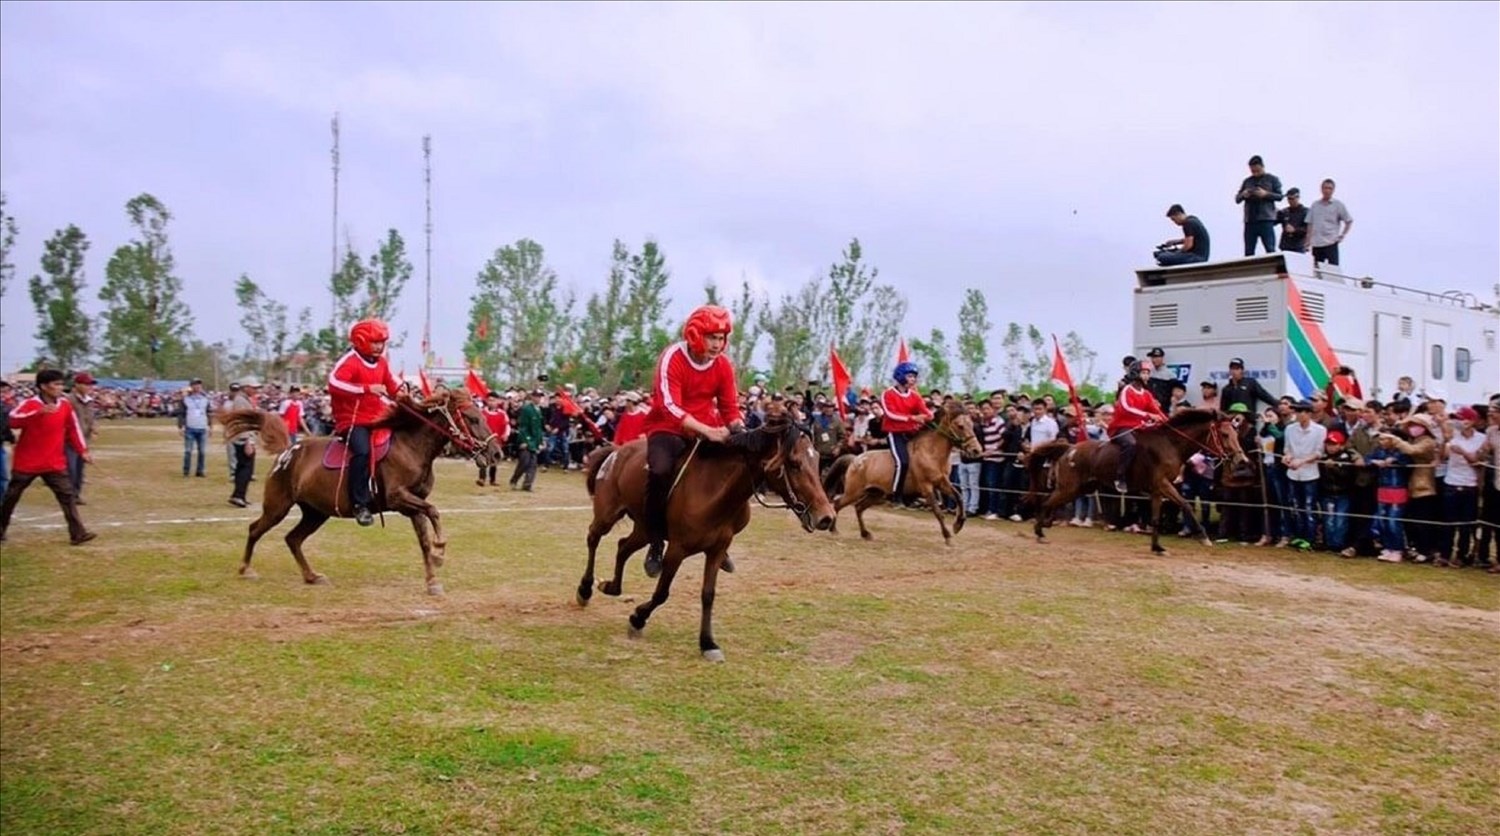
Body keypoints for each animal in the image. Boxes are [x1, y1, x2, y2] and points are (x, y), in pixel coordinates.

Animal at [219, 390, 498, 594]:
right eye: (472, 418)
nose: (496, 452)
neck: (411, 447)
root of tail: (286, 452)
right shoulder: (399, 498)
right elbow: (434, 512)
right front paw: (440, 551)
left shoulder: (413, 504)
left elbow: (424, 538)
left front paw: (432, 580)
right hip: (278, 506)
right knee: (255, 529)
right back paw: (245, 569)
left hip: (315, 513)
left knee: (293, 539)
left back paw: (311, 576)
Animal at [573, 414, 840, 660]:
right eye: (794, 463)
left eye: (817, 460)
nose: (826, 517)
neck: (713, 490)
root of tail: (617, 452)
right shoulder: (677, 549)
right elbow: (662, 592)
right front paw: (638, 618)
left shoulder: (717, 549)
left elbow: (708, 595)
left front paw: (708, 643)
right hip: (608, 514)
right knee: (593, 538)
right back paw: (585, 590)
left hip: (643, 529)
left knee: (623, 547)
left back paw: (612, 586)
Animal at [822, 402, 984, 543]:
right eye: (960, 426)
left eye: (971, 425)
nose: (976, 450)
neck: (931, 453)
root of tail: (855, 459)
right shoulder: (926, 487)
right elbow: (938, 512)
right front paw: (948, 536)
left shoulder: (942, 482)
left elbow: (959, 497)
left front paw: (958, 525)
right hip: (854, 492)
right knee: (837, 504)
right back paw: (833, 529)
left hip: (876, 493)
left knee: (858, 507)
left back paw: (865, 534)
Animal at [1026, 405, 1248, 555]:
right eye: (1225, 434)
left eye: (1236, 433)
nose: (1241, 460)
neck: (1171, 444)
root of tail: (1069, 449)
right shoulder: (1163, 485)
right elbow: (1186, 505)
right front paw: (1203, 537)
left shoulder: (1158, 491)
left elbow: (1156, 519)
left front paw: (1157, 547)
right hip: (1069, 488)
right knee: (1047, 502)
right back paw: (1040, 532)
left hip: (1080, 488)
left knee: (1052, 503)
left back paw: (1046, 524)